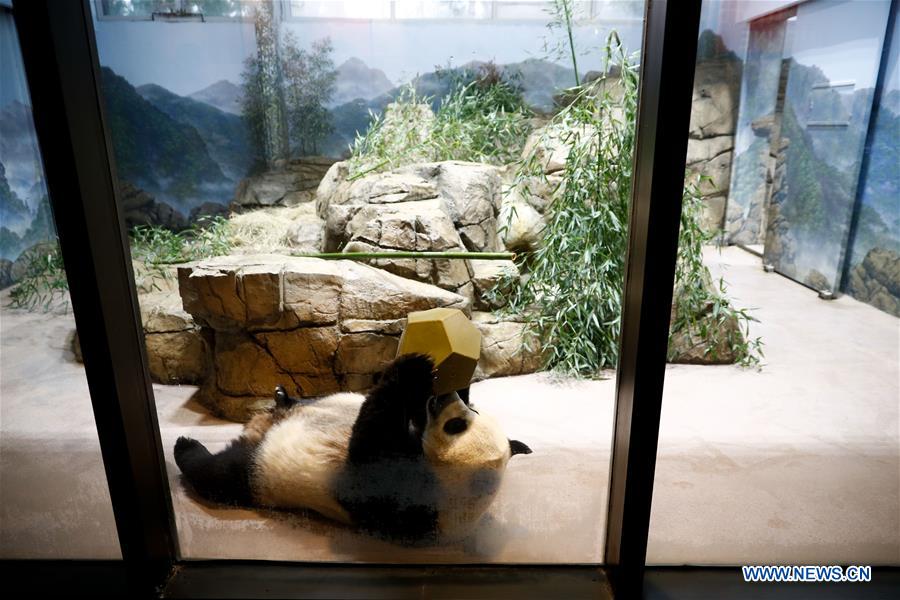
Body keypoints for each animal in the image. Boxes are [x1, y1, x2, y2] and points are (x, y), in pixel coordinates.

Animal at [172, 354, 532, 540]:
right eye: (471, 413)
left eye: (455, 425)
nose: (446, 398)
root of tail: (258, 428)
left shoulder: (403, 502)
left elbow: (370, 449)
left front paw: (410, 368)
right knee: (306, 401)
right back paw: (283, 397)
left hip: (259, 470)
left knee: (221, 474)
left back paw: (186, 446)